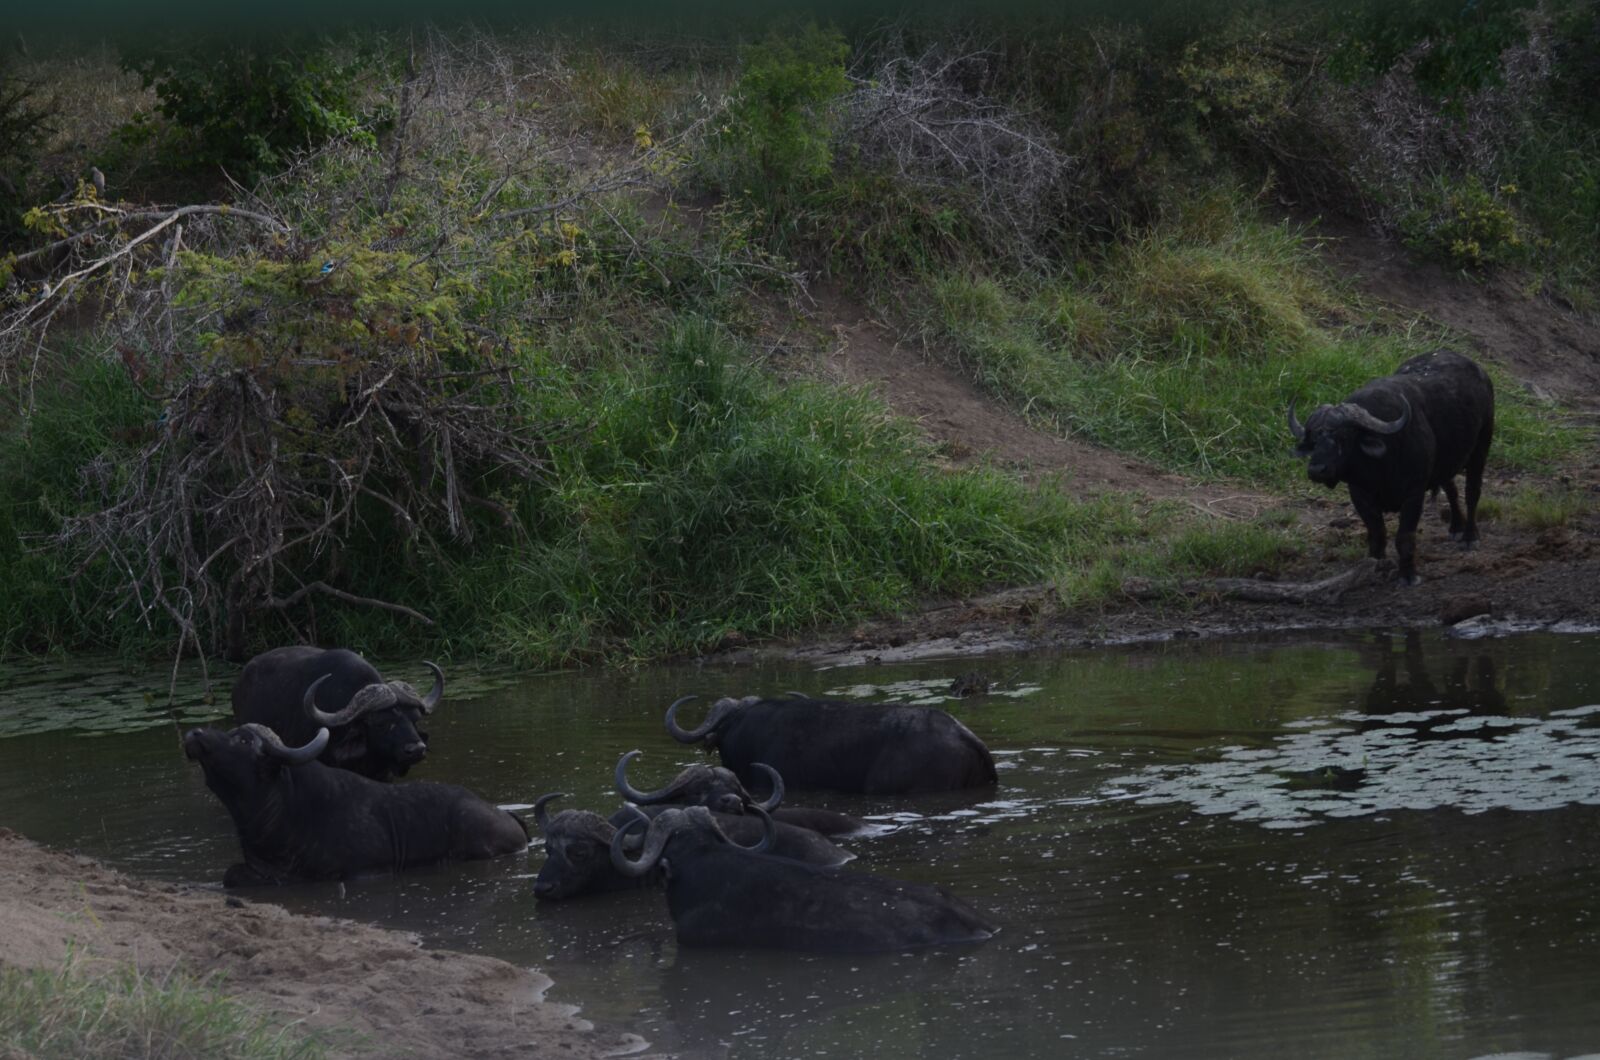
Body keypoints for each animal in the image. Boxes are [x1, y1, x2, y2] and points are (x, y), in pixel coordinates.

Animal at [1288, 349, 1494, 586]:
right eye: (1314, 439)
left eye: (1344, 437)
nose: (1316, 470)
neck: (1380, 469)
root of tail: (1480, 372)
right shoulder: (1360, 495)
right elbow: (1377, 533)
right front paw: (1375, 566)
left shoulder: (1414, 494)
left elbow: (1404, 537)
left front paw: (1408, 575)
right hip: (1447, 460)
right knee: (1451, 489)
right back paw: (1456, 527)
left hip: (1481, 446)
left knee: (1472, 492)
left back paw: (1470, 536)